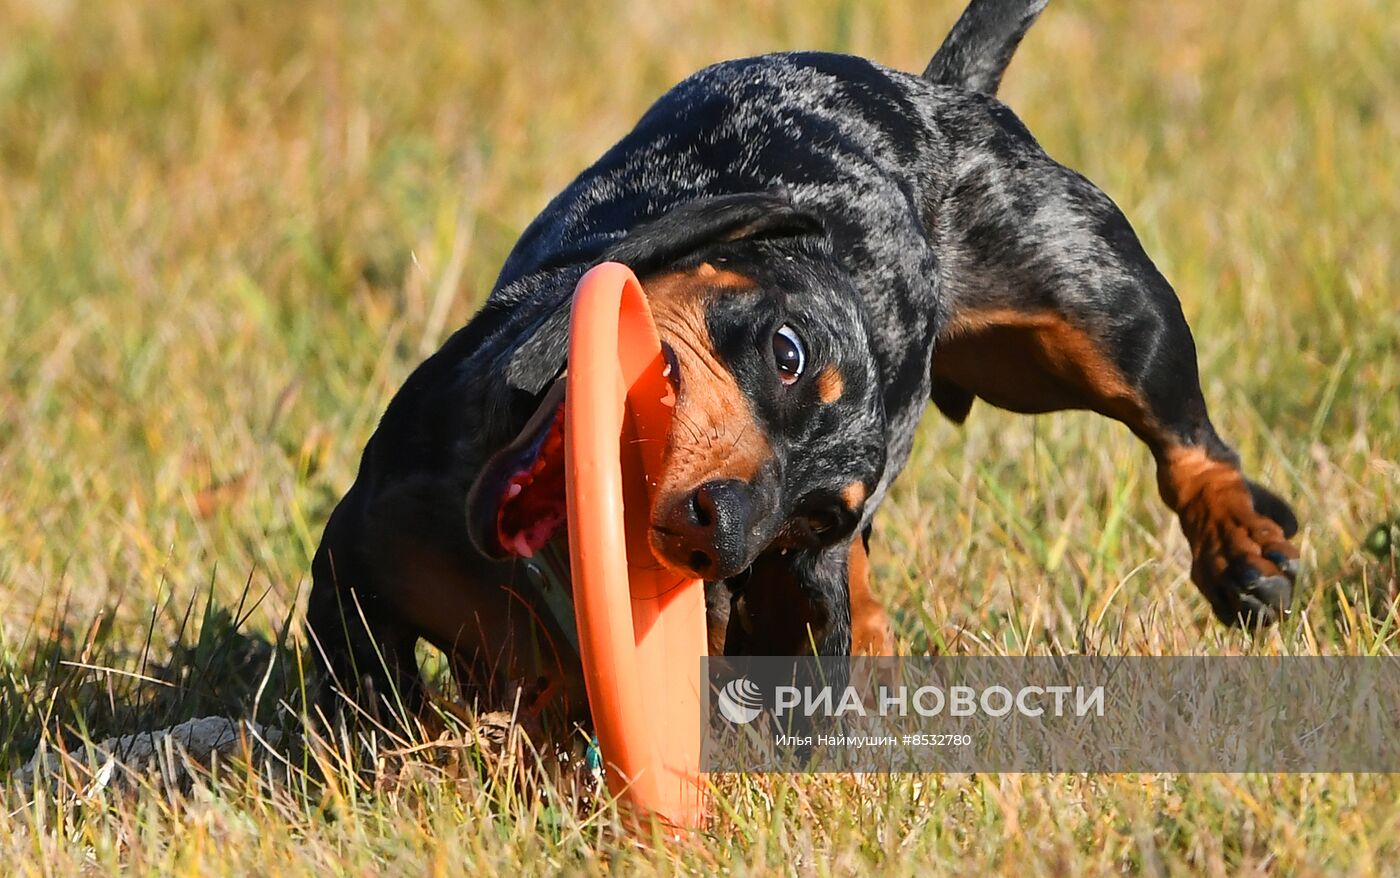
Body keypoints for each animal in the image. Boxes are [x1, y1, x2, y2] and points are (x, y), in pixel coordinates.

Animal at [306, 0, 1299, 722]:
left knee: (1188, 438)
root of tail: (939, 94)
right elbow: (358, 693)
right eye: (786, 352)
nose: (724, 528)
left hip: (1106, 313)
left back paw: (1242, 550)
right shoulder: (355, 558)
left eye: (806, 521)